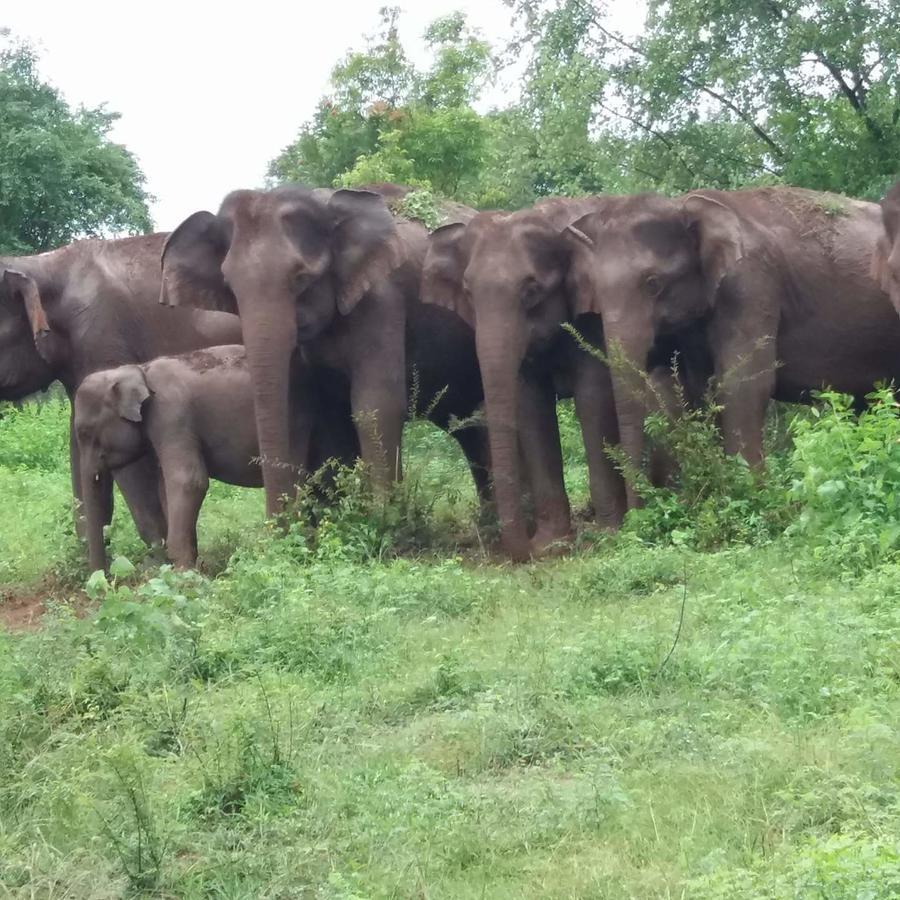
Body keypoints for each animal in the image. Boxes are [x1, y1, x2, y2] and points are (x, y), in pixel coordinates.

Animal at [72, 344, 354, 568]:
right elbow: (166, 488)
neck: (139, 370)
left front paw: (182, 575)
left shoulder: (172, 415)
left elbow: (188, 481)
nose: (103, 579)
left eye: (85, 432)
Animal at [158, 184, 488, 520]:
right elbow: (303, 408)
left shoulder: (381, 300)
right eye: (230, 286)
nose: (277, 522)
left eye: (301, 278)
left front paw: (384, 518)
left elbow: (374, 404)